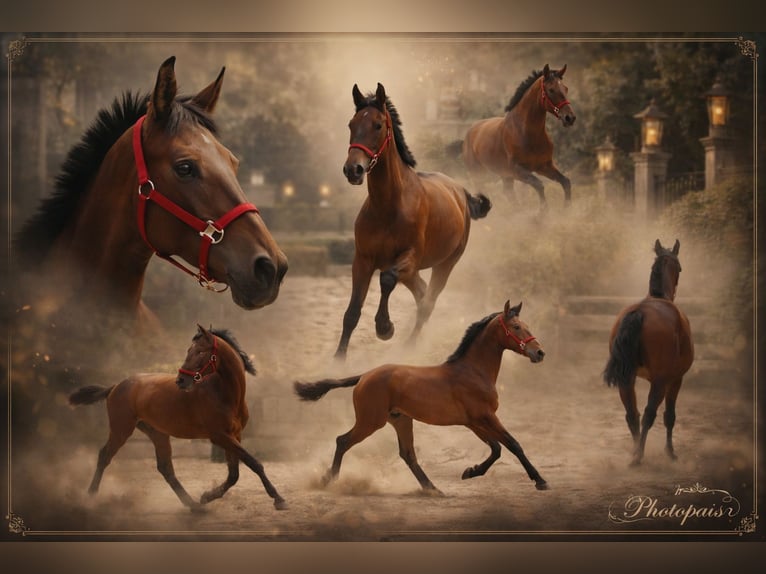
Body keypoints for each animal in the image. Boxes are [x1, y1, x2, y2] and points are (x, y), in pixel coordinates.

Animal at [68, 324, 287, 511]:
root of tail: (115, 387)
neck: (225, 394)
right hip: (121, 429)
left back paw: (194, 506)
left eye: (200, 351)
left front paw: (206, 496)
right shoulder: (220, 436)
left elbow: (234, 473)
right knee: (104, 456)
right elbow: (253, 462)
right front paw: (278, 499)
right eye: (189, 350)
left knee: (165, 468)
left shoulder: (234, 435)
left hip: (157, 433)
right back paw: (90, 496)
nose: (181, 380)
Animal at [297, 300, 549, 493]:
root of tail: (364, 376)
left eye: (525, 326)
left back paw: (432, 489)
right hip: (371, 422)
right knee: (343, 441)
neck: (472, 371)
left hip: (400, 420)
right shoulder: (485, 418)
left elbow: (496, 448)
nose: (539, 352)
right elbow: (513, 445)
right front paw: (540, 481)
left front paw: (470, 472)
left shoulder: (474, 422)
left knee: (407, 454)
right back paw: (328, 479)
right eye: (516, 327)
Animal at [336, 83, 491, 359]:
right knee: (421, 292)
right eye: (351, 124)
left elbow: (386, 279)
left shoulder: (409, 257)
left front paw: (385, 327)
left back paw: (410, 346)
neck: (388, 207)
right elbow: (352, 312)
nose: (353, 170)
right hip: (414, 271)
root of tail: (460, 191)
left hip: (446, 263)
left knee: (427, 301)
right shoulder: (362, 260)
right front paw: (338, 359)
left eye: (378, 125)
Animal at [456, 64, 575, 207]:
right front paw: (542, 211)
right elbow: (539, 185)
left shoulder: (544, 166)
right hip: (479, 175)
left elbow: (565, 182)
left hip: (504, 176)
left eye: (566, 88)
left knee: (509, 194)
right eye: (551, 90)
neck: (527, 134)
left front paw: (566, 208)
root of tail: (467, 137)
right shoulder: (517, 170)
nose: (570, 118)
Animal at [603, 239, 694, 466]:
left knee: (632, 414)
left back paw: (635, 450)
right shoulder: (676, 379)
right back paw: (638, 456)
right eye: (680, 268)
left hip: (626, 380)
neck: (658, 297)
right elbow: (669, 416)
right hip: (660, 382)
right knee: (648, 414)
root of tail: (640, 312)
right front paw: (670, 452)